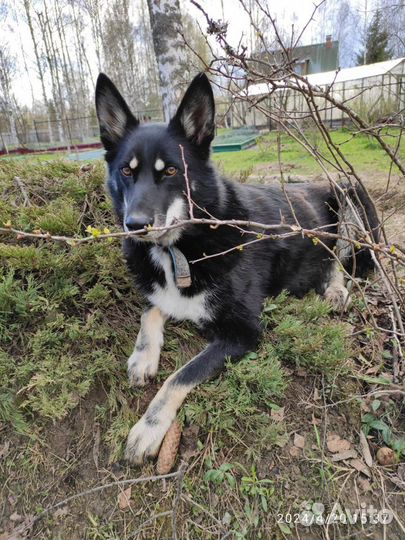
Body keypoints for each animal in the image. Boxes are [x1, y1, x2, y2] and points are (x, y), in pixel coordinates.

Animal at [95, 70, 378, 464]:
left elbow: (179, 376)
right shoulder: (168, 295)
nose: (134, 225)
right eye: (126, 171)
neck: (180, 249)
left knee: (342, 256)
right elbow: (150, 311)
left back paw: (335, 287)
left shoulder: (242, 332)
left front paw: (148, 430)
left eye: (171, 171)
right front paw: (142, 357)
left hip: (347, 192)